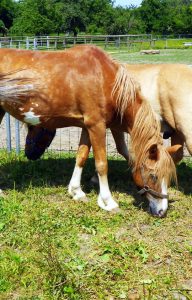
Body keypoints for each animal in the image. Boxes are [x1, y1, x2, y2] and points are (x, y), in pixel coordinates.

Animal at [0, 45, 178, 217]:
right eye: (153, 175)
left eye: (168, 176)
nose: (161, 212)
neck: (104, 79)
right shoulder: (96, 125)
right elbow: (102, 164)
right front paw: (108, 202)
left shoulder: (87, 126)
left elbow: (81, 156)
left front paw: (76, 192)